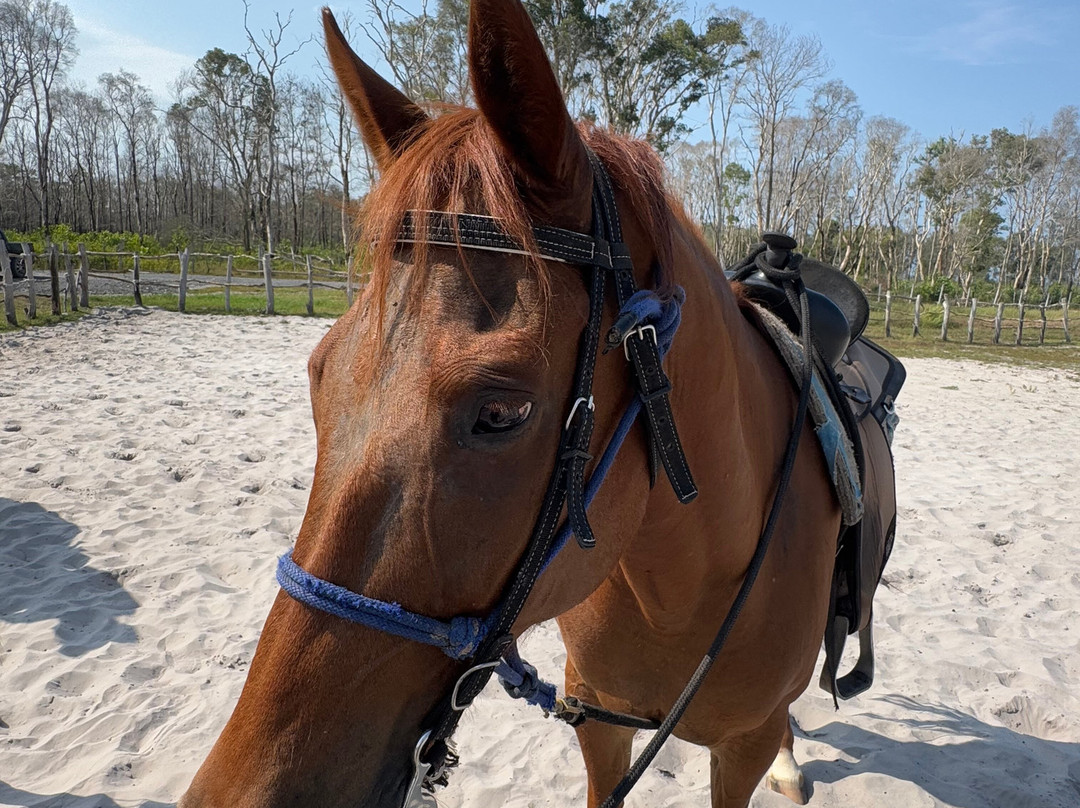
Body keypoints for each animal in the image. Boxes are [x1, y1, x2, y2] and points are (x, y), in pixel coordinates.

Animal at [180, 2, 848, 806]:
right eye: (318, 375)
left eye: (502, 413)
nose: (235, 791)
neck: (684, 588)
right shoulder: (599, 722)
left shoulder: (737, 749)